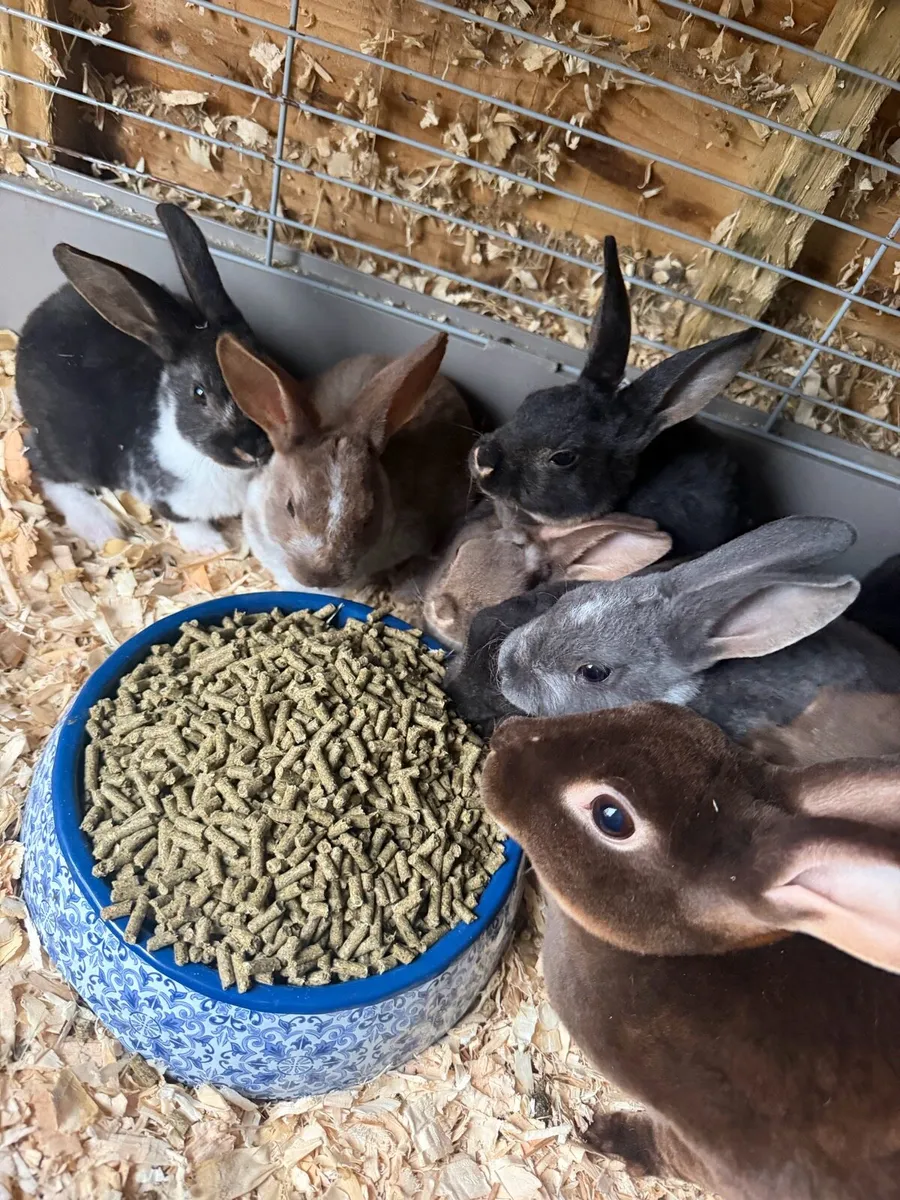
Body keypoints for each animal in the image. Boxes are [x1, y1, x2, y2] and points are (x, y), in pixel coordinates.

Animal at [16, 202, 272, 553]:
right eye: (199, 393)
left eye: (270, 364)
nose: (255, 448)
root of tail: (31, 326)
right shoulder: (167, 500)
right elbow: (186, 522)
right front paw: (213, 547)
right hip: (68, 448)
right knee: (42, 466)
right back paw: (101, 527)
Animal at [482, 702, 900, 1200]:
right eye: (659, 710)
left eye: (611, 816)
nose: (502, 738)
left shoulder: (719, 1151)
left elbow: (669, 1153)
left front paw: (604, 1135)